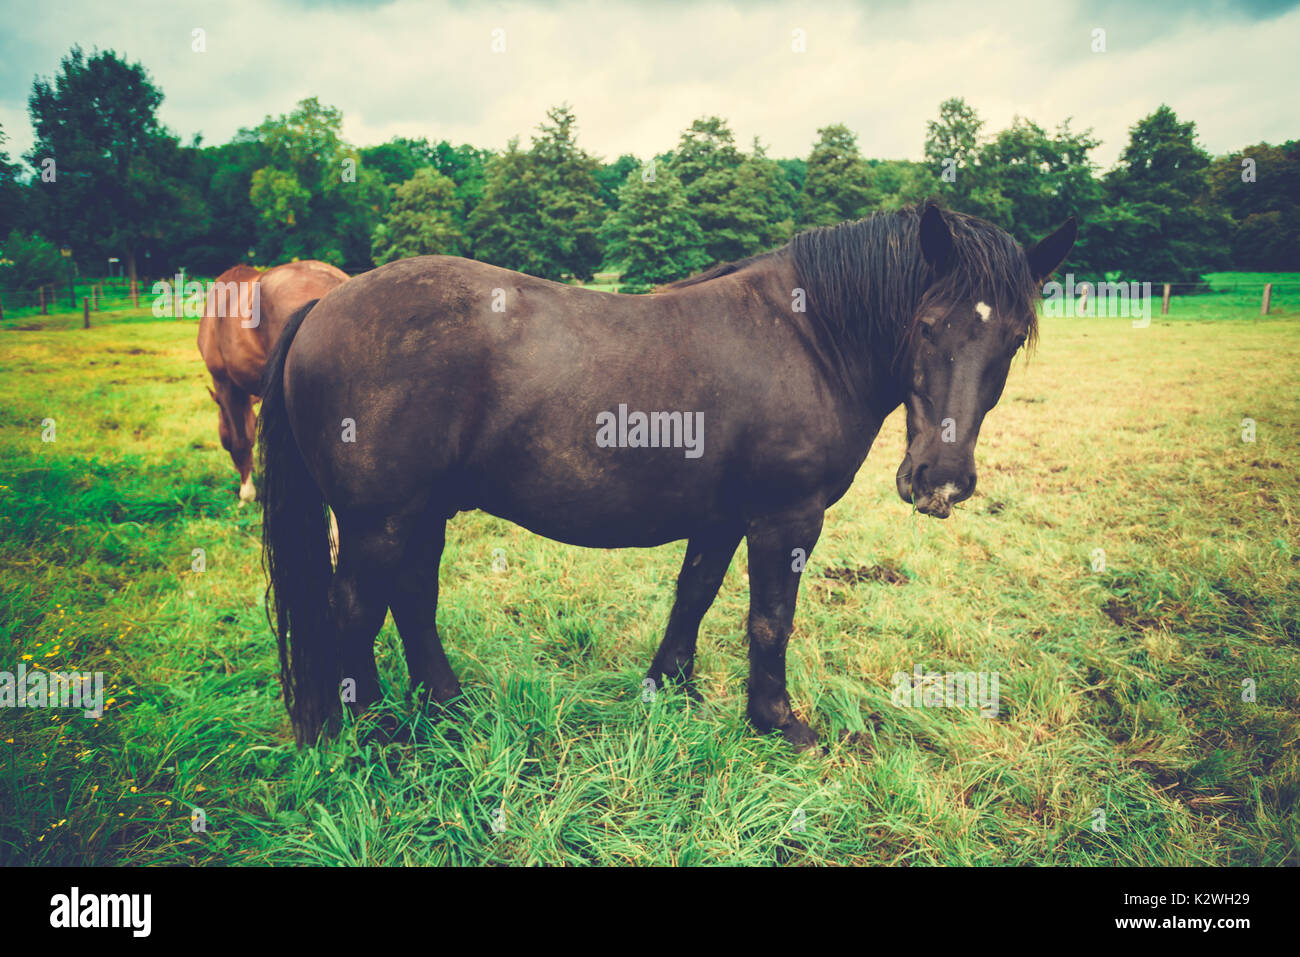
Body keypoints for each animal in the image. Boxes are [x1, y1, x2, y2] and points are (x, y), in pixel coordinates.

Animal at [259, 202, 1076, 749]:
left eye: (1011, 338)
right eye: (929, 325)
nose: (940, 479)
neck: (808, 337)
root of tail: (324, 303)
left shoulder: (721, 516)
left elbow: (695, 594)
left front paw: (670, 687)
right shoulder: (786, 517)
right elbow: (770, 618)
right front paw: (778, 722)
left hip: (420, 512)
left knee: (410, 598)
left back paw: (447, 705)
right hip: (380, 519)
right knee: (353, 611)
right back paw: (371, 735)